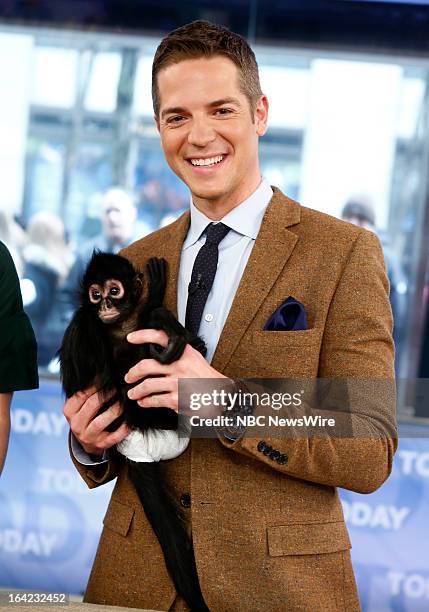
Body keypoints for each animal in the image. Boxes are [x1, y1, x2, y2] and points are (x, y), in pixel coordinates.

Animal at [59, 251, 209, 608]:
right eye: (95, 294)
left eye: (113, 291)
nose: (103, 306)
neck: (119, 329)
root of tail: (138, 441)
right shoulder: (82, 329)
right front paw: (154, 299)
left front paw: (154, 302)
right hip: (155, 413)